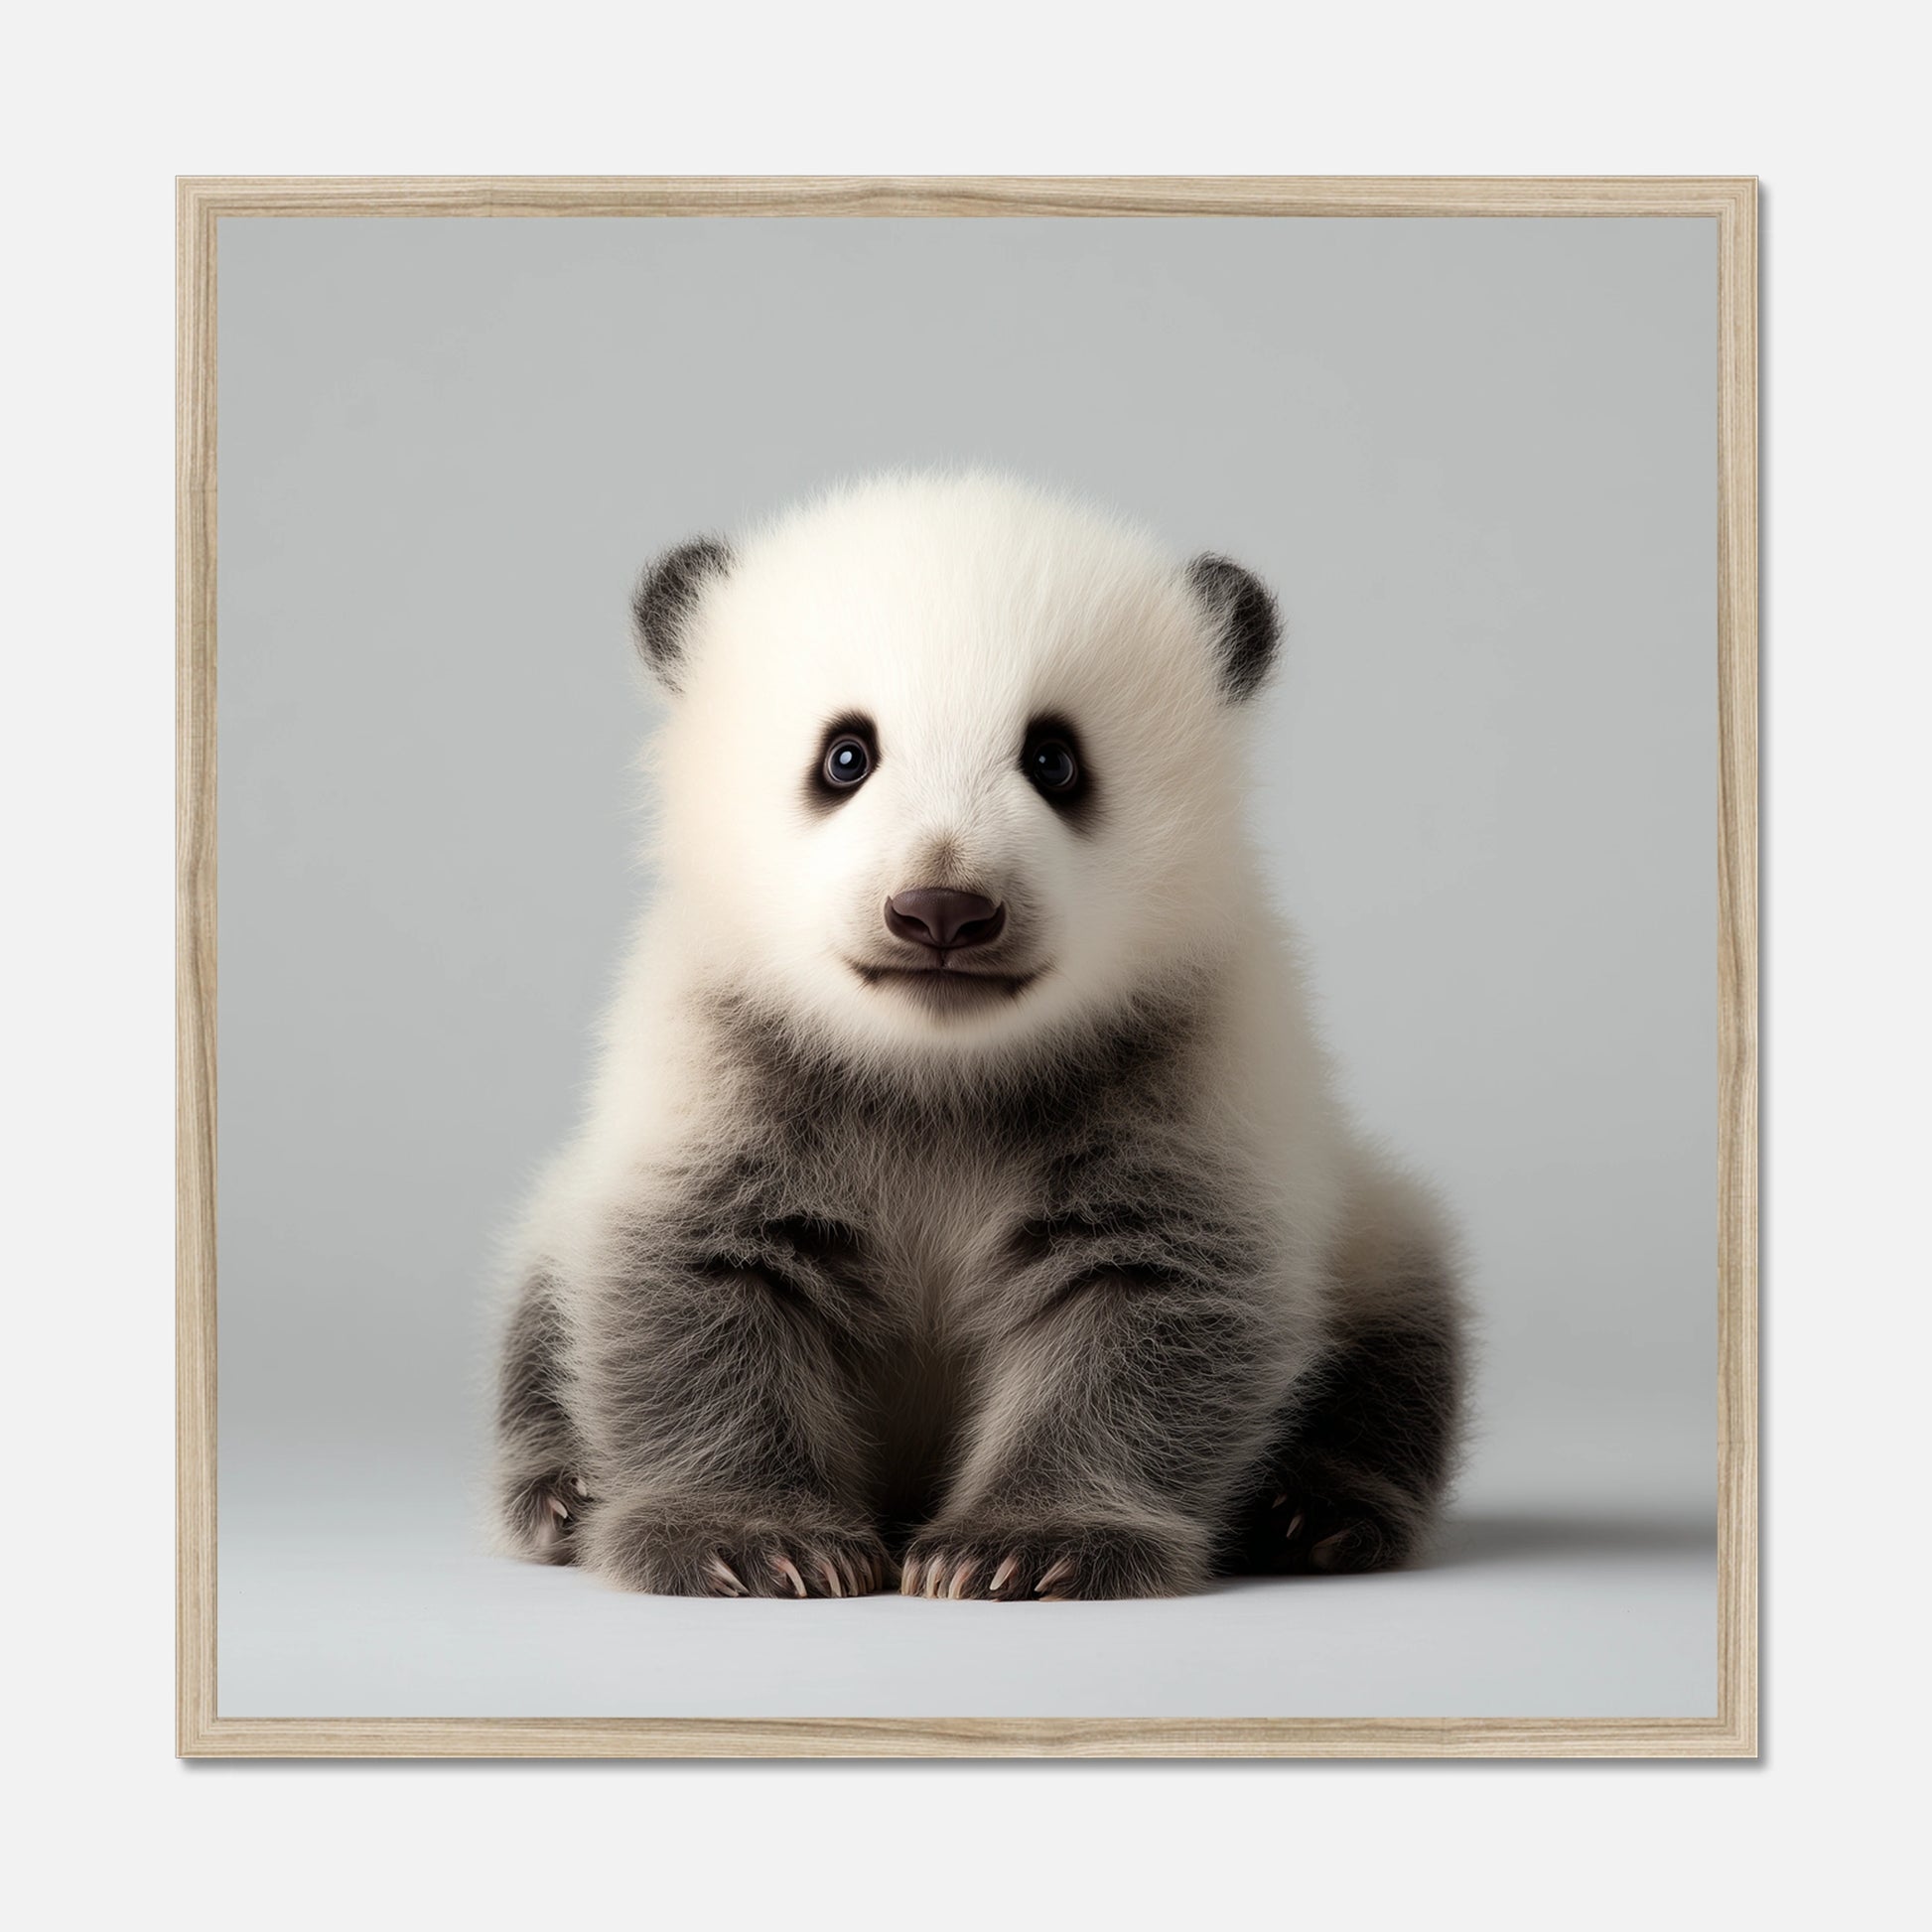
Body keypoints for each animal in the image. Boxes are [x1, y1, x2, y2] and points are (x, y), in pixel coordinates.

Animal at [493, 471, 1465, 1600]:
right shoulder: (719, 1054)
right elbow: (697, 1282)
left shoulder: (1193, 1058)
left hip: (1368, 1225)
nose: (942, 911)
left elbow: (1150, 1301)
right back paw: (562, 1492)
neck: (938, 1067)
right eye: (846, 756)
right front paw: (749, 1539)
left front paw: (1025, 1545)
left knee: (1399, 1340)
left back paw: (1315, 1511)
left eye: (1054, 759)